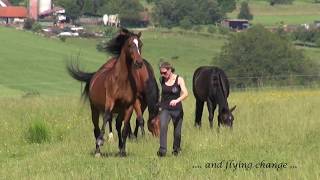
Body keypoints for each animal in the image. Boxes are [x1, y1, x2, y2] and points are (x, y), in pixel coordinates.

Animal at [67, 28, 151, 156]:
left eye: (140, 44)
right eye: (130, 45)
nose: (139, 62)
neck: (122, 81)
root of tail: (95, 75)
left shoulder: (129, 106)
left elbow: (124, 128)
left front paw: (123, 151)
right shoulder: (109, 102)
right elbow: (106, 118)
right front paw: (101, 141)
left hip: (119, 111)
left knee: (118, 125)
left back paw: (120, 147)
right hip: (95, 109)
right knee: (96, 128)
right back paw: (97, 150)